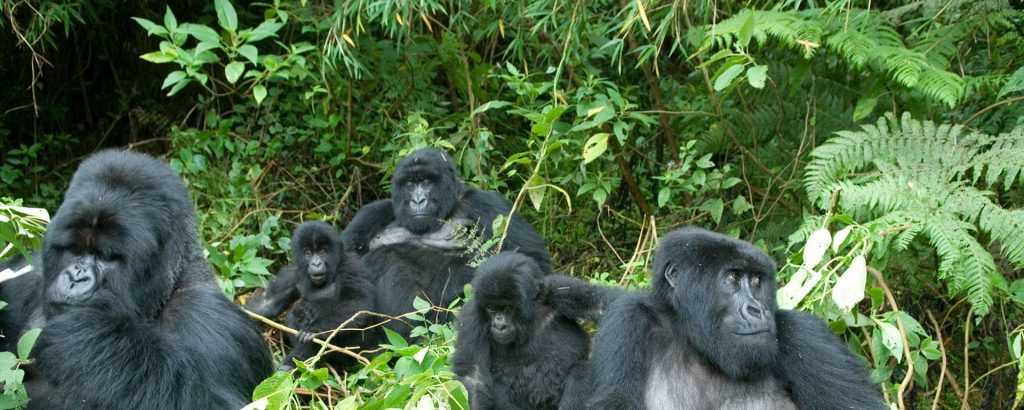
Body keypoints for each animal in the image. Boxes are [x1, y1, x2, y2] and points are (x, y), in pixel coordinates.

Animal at [4, 151, 274, 410]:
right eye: (75, 250)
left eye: (106, 257)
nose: (75, 278)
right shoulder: (22, 274)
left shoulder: (212, 320)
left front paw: (87, 335)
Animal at [246, 222, 376, 369]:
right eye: (308, 253)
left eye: (322, 251)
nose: (316, 263)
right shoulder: (292, 273)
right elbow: (268, 303)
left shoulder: (352, 266)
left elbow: (358, 303)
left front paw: (315, 330)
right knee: (295, 314)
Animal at [342, 147, 552, 336]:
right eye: (410, 184)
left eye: (426, 181)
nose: (418, 200)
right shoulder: (372, 213)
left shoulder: (489, 203)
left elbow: (532, 261)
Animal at [452, 253, 589, 410]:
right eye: (491, 309)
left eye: (507, 309)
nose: (499, 325)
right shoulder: (471, 316)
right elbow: (474, 376)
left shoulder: (558, 289)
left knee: (581, 370)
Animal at [589, 227, 884, 410]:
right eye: (732, 277)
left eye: (756, 281)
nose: (757, 310)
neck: (697, 345)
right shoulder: (626, 320)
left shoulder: (806, 335)